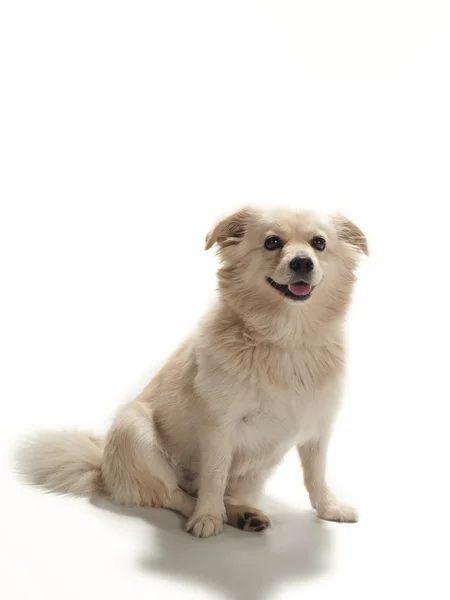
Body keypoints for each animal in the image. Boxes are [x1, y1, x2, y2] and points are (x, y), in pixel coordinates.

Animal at [19, 206, 368, 540]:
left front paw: (329, 507)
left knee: (226, 493)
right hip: (132, 428)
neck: (288, 339)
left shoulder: (318, 428)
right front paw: (207, 517)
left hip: (256, 469)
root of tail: (104, 469)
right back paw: (216, 514)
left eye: (319, 243)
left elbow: (316, 474)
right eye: (272, 242)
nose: (302, 263)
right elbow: (214, 475)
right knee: (174, 493)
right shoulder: (219, 426)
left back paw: (244, 514)